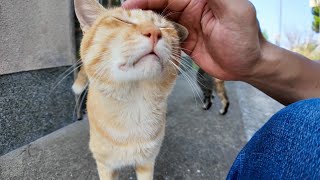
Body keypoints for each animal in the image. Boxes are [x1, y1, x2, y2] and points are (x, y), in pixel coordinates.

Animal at [73, 0, 188, 179]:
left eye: (164, 27)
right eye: (122, 21)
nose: (155, 32)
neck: (134, 105)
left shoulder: (146, 163)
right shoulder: (105, 166)